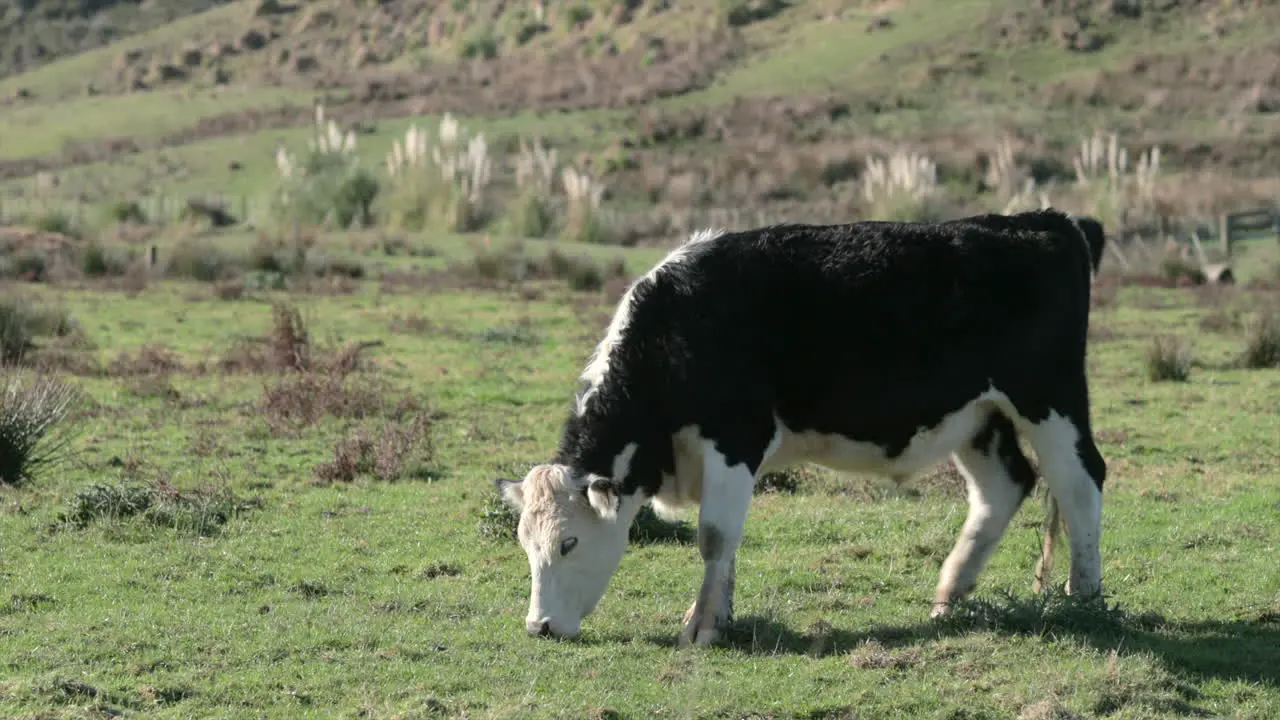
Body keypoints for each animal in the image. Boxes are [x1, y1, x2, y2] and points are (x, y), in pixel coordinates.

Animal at [494, 207, 1105, 645]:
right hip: (979, 418)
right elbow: (727, 542)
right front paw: (722, 612)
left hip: (1048, 397)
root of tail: (1043, 220)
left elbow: (715, 535)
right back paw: (950, 594)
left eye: (569, 542)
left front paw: (702, 625)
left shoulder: (734, 440)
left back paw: (1084, 596)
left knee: (1081, 483)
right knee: (1004, 486)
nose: (539, 627)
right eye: (525, 543)